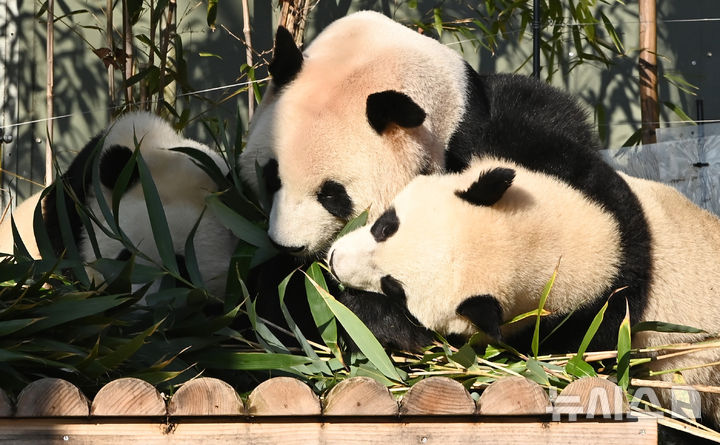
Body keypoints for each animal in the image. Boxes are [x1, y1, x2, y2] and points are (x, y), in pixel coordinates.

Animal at [330, 155, 720, 424]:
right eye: (386, 226)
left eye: (394, 288)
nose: (334, 262)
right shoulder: (591, 180)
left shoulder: (584, 330)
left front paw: (362, 313)